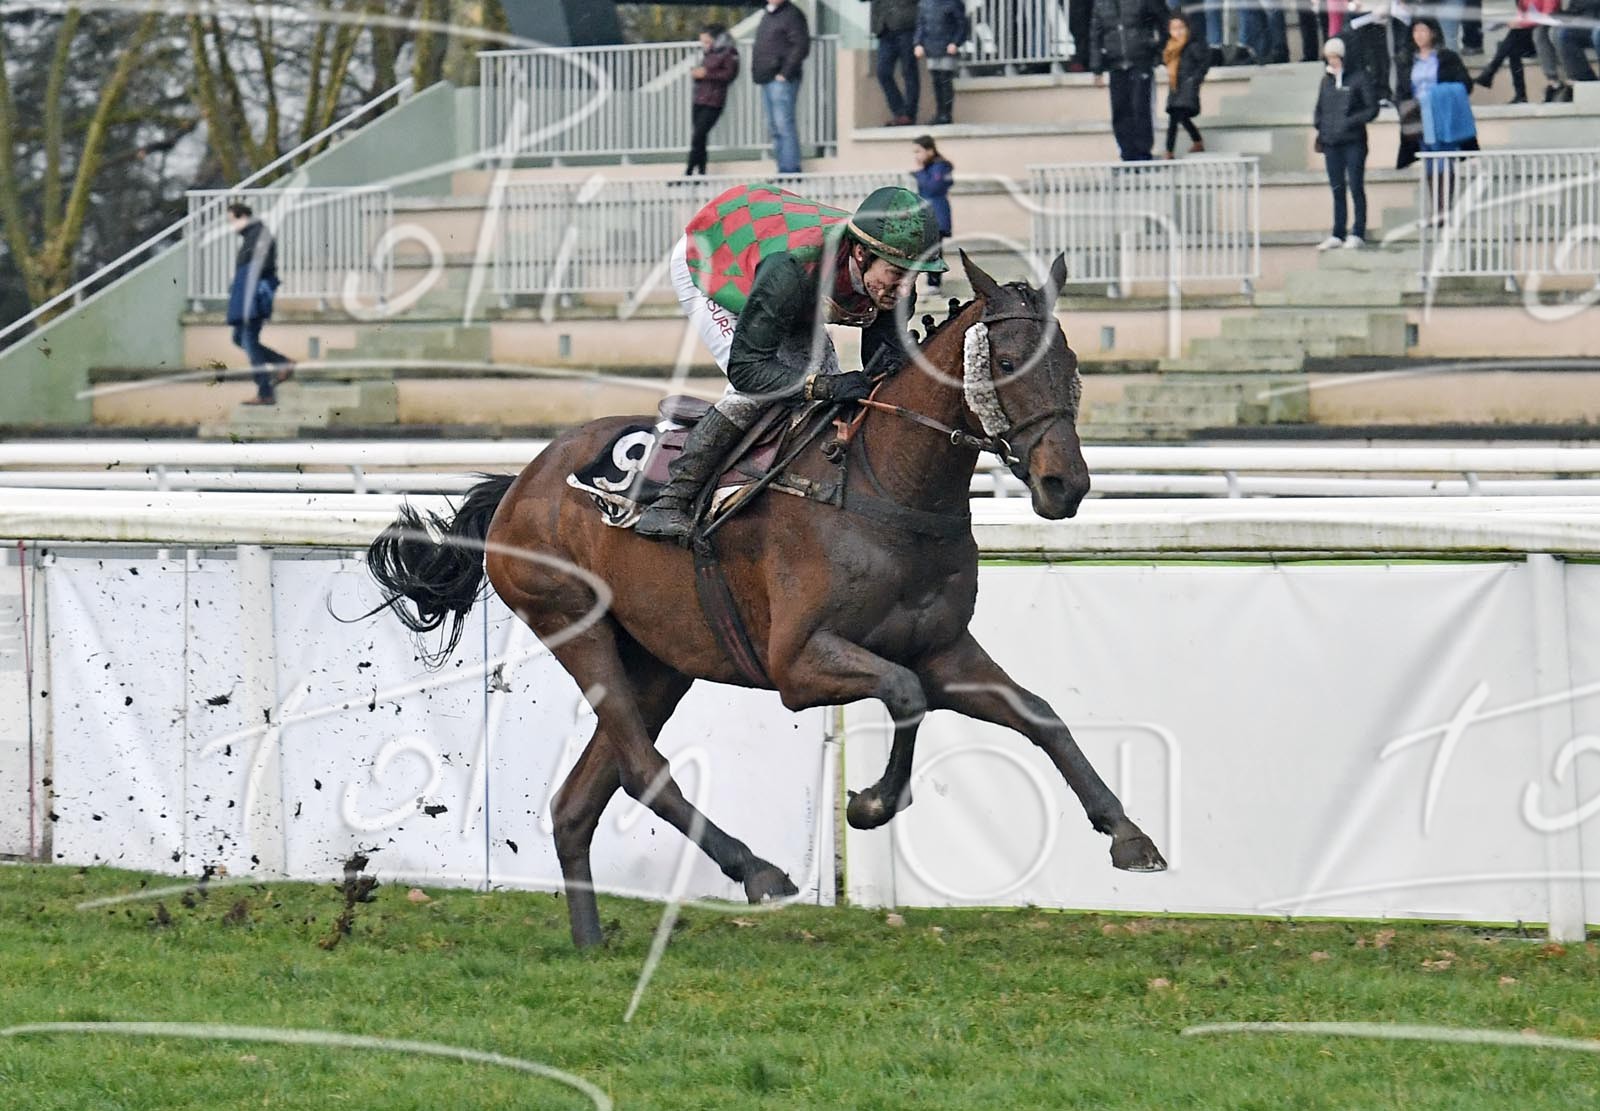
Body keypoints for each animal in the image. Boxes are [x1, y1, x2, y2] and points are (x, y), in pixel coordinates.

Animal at [364, 252, 1167, 948]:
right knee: (642, 769)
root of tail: (521, 480)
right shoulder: (797, 664)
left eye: (1071, 365)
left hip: (661, 658)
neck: (884, 484)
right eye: (1003, 365)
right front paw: (869, 804)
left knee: (579, 800)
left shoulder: (944, 648)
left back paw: (591, 942)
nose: (1066, 485)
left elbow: (1039, 715)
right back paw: (757, 870)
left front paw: (1129, 835)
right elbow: (905, 695)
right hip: (574, 623)